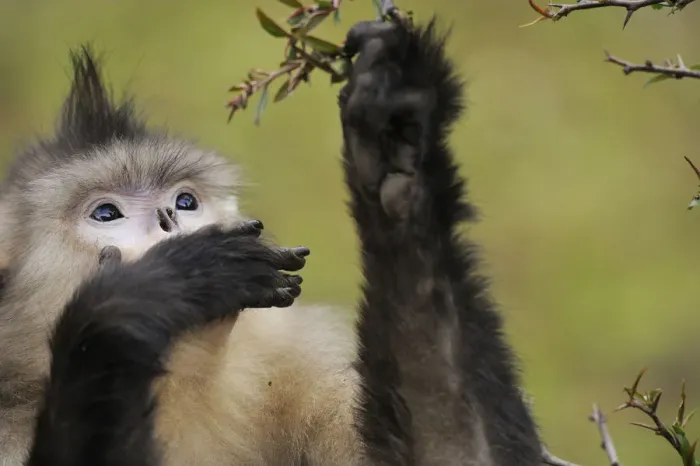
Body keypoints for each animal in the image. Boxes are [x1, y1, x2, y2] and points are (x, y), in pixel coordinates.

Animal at [0, 13, 543, 466]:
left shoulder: (306, 370)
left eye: (185, 201)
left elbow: (458, 455)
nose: (170, 221)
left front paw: (396, 150)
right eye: (106, 213)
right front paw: (142, 294)